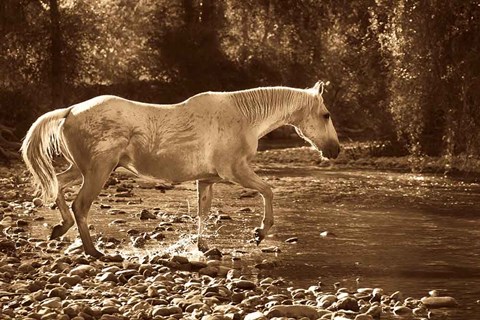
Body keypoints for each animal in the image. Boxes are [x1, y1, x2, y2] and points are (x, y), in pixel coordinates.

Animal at [20, 82, 340, 258]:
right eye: (326, 115)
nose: (335, 150)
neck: (243, 117)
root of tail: (70, 111)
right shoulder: (235, 171)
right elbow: (268, 191)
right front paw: (260, 232)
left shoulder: (207, 180)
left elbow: (203, 213)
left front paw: (203, 247)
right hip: (98, 171)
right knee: (81, 205)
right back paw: (95, 252)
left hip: (81, 169)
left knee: (58, 185)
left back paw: (60, 229)